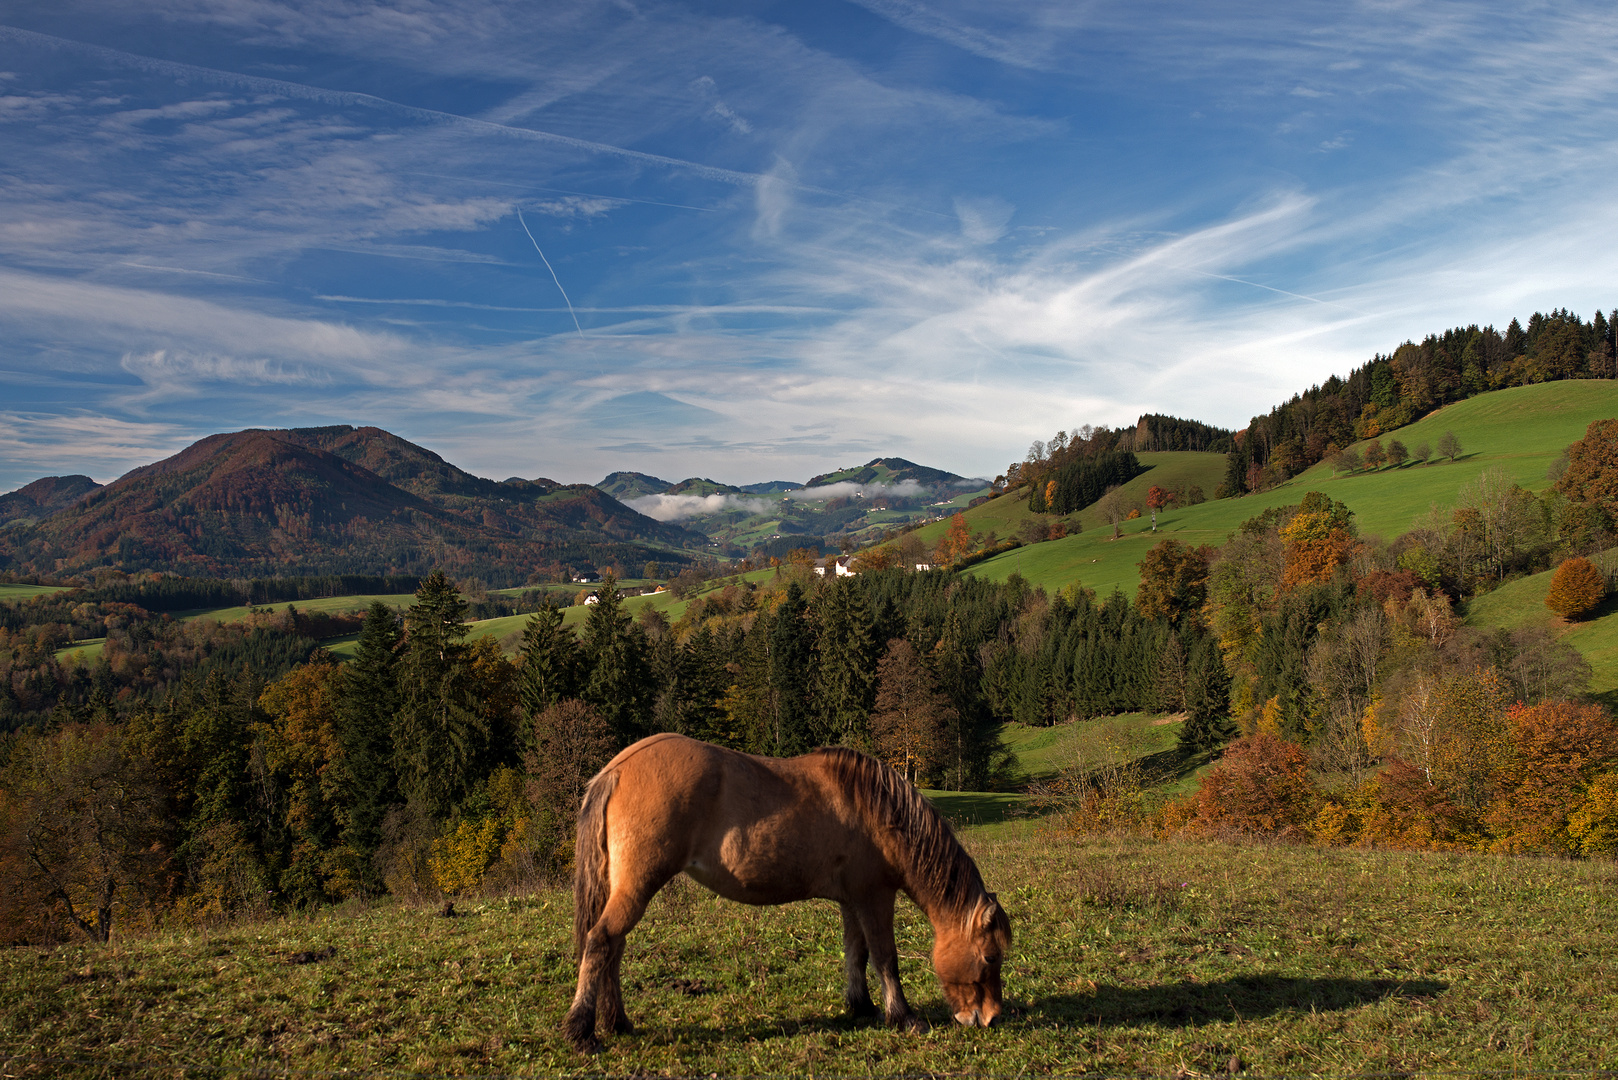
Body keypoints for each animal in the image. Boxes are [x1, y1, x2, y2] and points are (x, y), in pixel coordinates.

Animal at [563, 731, 1003, 1049]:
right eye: (990, 957)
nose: (991, 1017)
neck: (875, 812)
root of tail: (617, 769)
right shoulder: (875, 898)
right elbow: (885, 958)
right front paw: (903, 1017)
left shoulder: (852, 901)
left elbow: (856, 954)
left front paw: (860, 1006)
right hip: (637, 887)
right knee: (600, 942)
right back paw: (581, 1032)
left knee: (613, 949)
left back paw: (617, 1023)